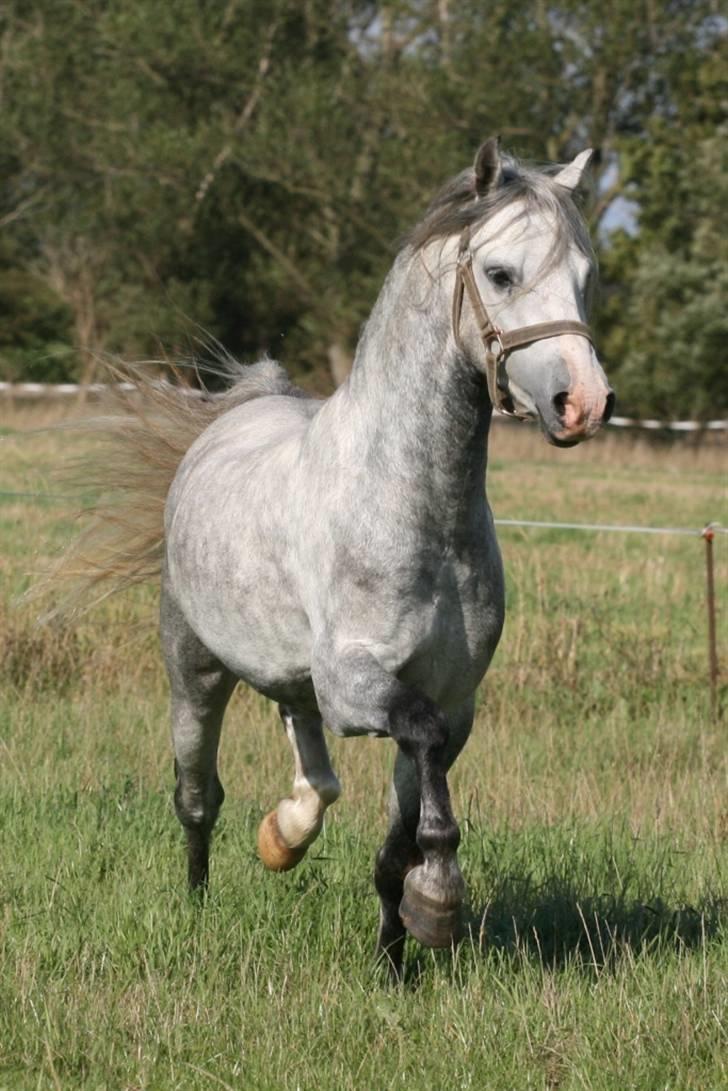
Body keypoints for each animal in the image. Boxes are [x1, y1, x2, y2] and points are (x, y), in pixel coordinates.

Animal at [62, 138, 611, 981]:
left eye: (585, 277)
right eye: (500, 273)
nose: (584, 403)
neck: (418, 510)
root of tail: (242, 407)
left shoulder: (453, 700)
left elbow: (400, 832)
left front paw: (397, 954)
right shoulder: (362, 685)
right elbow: (418, 753)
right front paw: (439, 899)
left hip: (292, 676)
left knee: (311, 764)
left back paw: (285, 833)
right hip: (194, 668)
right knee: (197, 796)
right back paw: (198, 901)